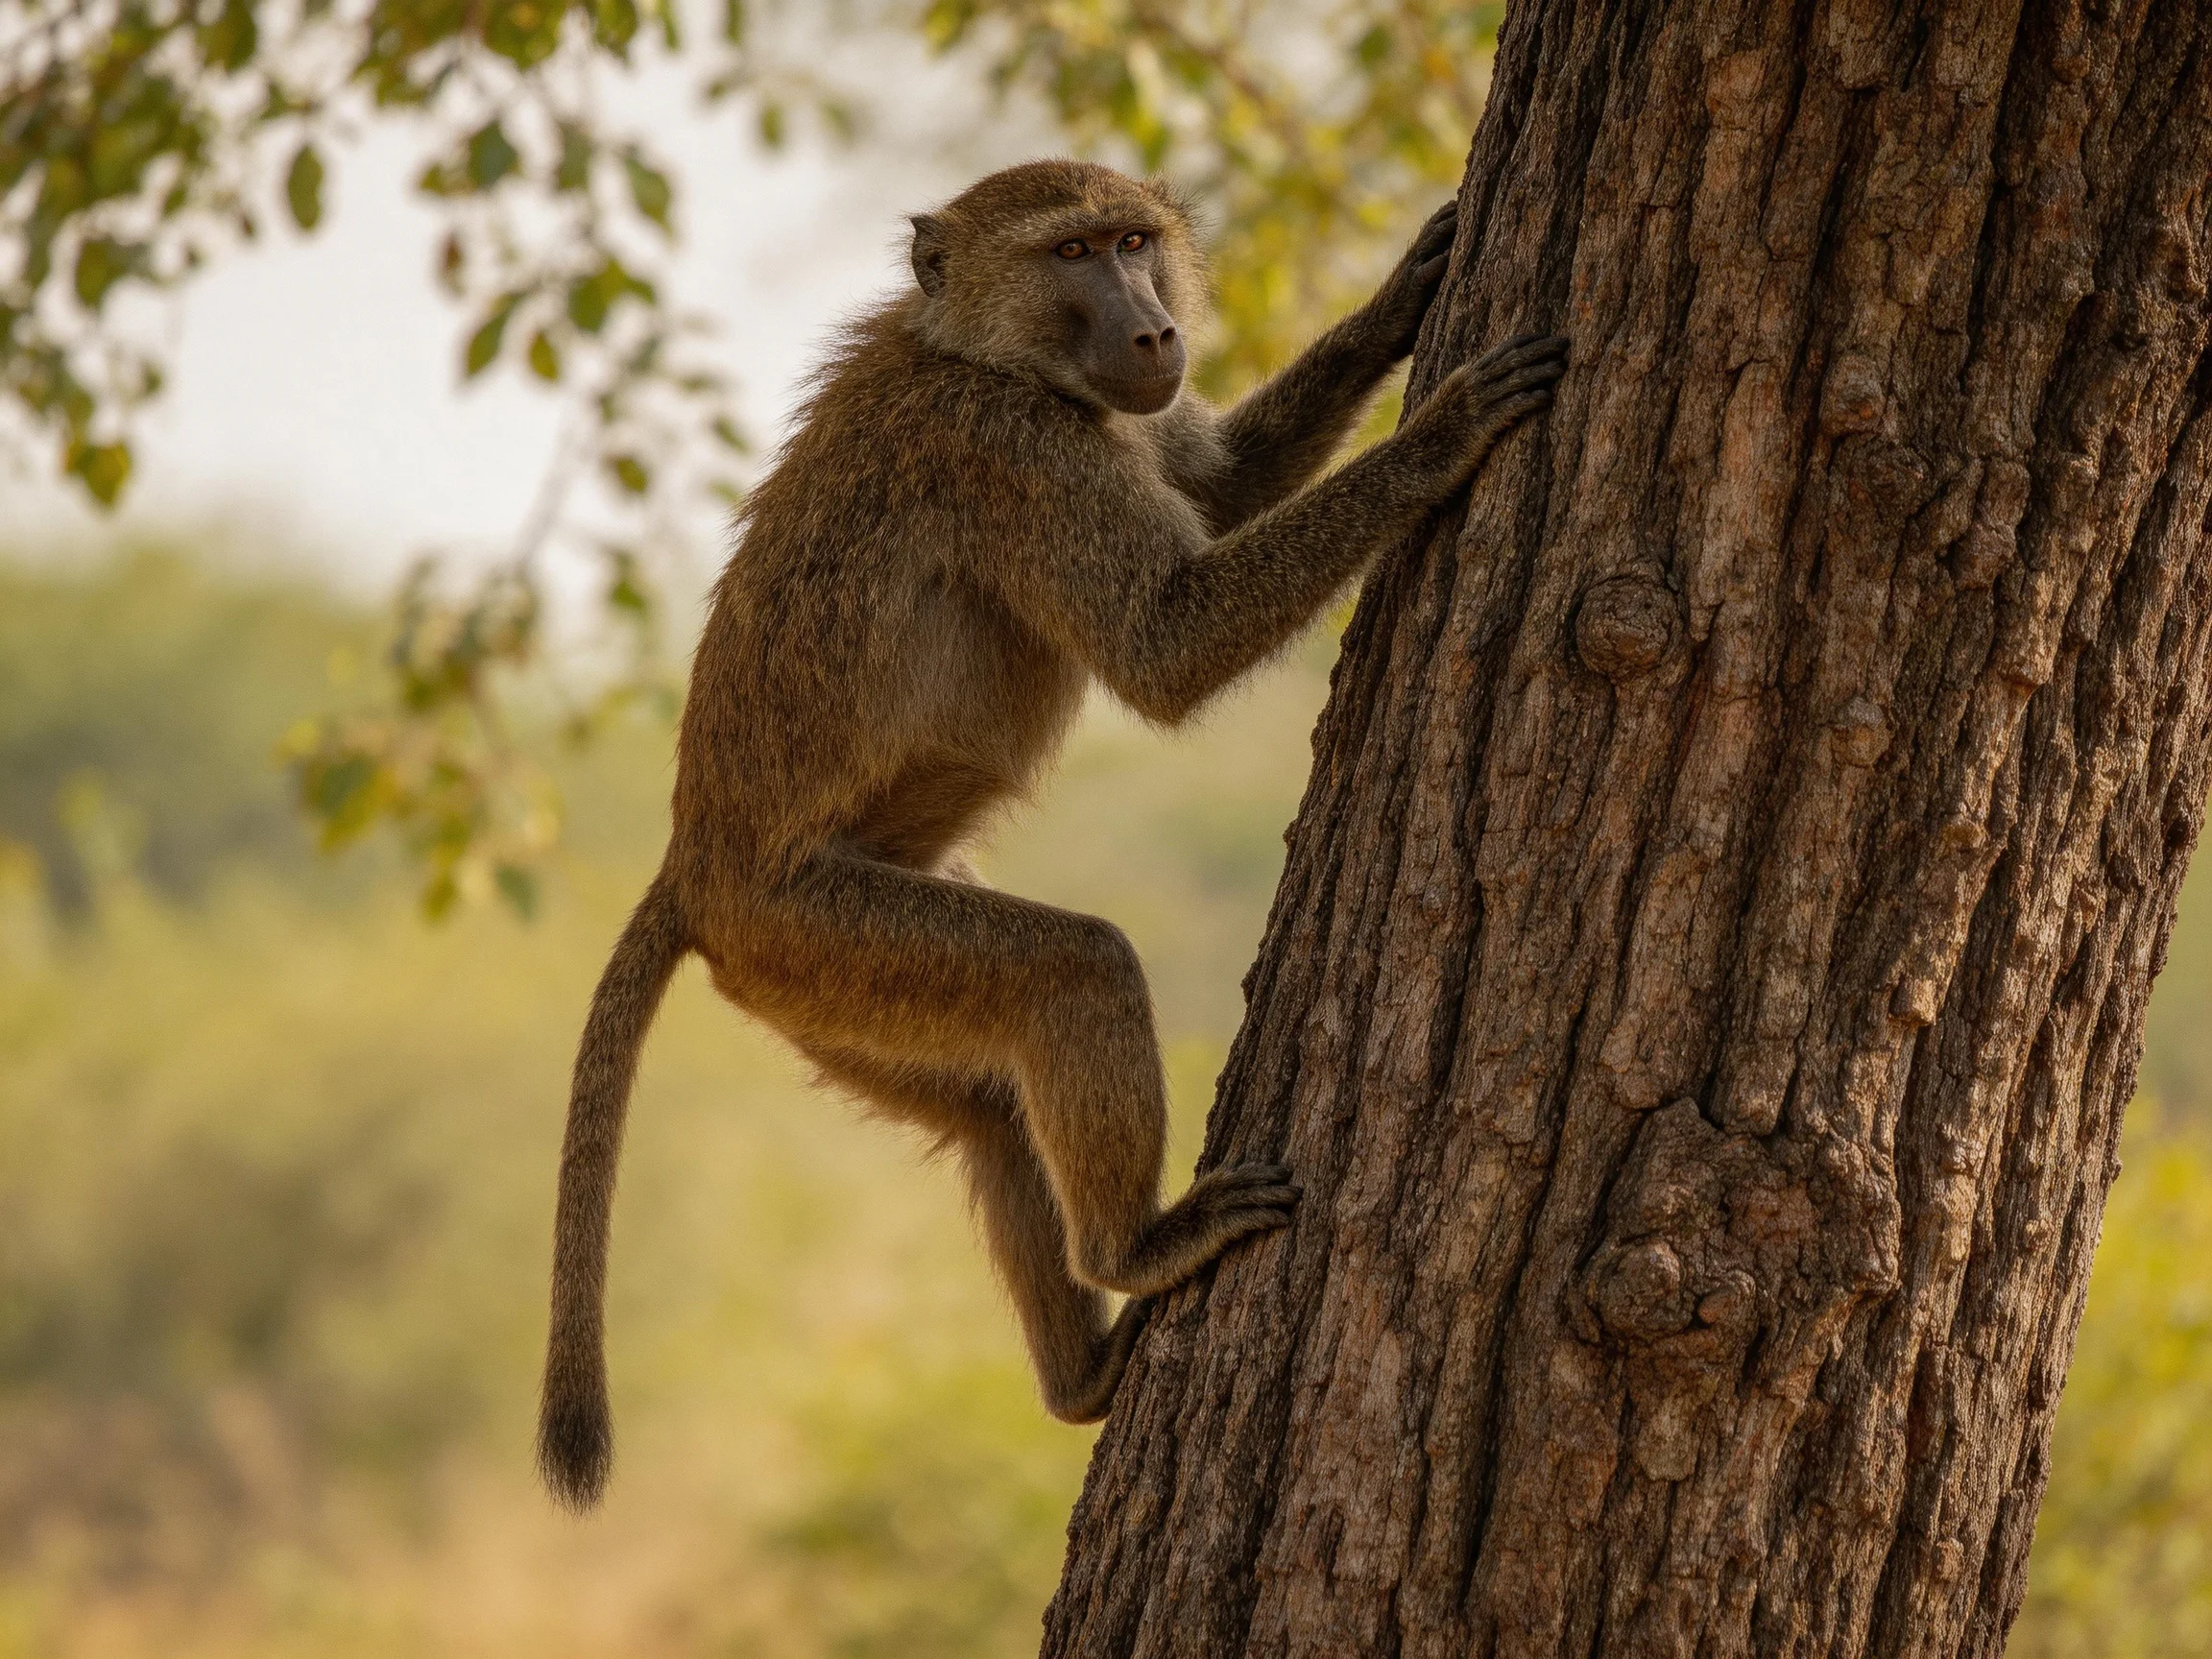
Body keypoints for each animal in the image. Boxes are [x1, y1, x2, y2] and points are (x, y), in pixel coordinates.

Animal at [538, 157, 1568, 1510]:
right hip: (817, 930)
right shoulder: (1014, 450)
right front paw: (1445, 429)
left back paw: (1078, 1372)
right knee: (1074, 972)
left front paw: (1401, 296)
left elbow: (1219, 479)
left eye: (1133, 242)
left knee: (986, 1106)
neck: (986, 354)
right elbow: (1167, 643)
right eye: (1072, 252)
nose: (1157, 331)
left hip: (818, 988)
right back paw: (1138, 1248)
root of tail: (692, 864)